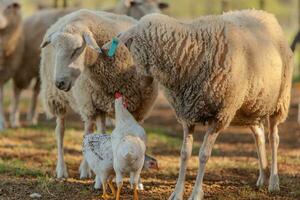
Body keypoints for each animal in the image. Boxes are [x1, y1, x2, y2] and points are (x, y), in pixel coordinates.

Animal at [40, 9, 159, 181]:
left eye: (77, 49)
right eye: (55, 47)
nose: (59, 83)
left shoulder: (138, 108)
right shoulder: (88, 104)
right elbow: (87, 133)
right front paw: (87, 171)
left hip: (99, 102)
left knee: (99, 130)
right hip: (60, 99)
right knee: (63, 131)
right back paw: (64, 170)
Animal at [103, 9, 296, 198]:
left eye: (129, 45)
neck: (191, 54)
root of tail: (265, 14)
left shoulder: (219, 116)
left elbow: (203, 155)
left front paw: (196, 193)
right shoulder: (187, 114)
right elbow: (184, 154)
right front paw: (177, 192)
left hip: (280, 102)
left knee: (273, 138)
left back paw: (273, 182)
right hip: (250, 106)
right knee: (259, 135)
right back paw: (262, 177)